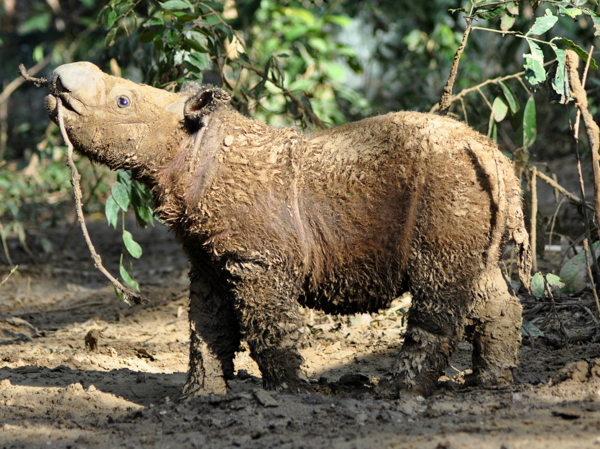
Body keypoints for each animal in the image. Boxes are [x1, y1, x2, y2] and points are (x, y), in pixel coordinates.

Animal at [42, 60, 528, 396]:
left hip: (445, 184)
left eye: (122, 101)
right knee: (482, 284)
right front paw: (197, 398)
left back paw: (402, 394)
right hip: (476, 190)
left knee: (438, 284)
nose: (59, 79)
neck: (192, 146)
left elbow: (268, 327)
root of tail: (491, 154)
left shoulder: (257, 260)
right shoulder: (208, 258)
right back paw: (490, 384)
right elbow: (206, 328)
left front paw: (290, 393)